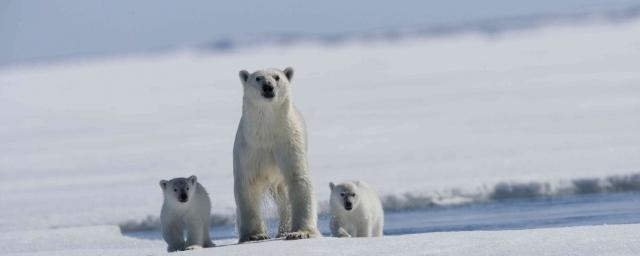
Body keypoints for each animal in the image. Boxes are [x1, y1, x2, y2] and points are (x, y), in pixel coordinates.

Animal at [232, 66, 320, 242]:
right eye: (258, 78)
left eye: (277, 77)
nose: (268, 86)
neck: (267, 131)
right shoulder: (248, 149)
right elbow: (247, 184)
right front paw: (255, 235)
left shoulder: (288, 141)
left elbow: (298, 178)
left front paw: (299, 232)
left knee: (285, 199)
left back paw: (284, 231)